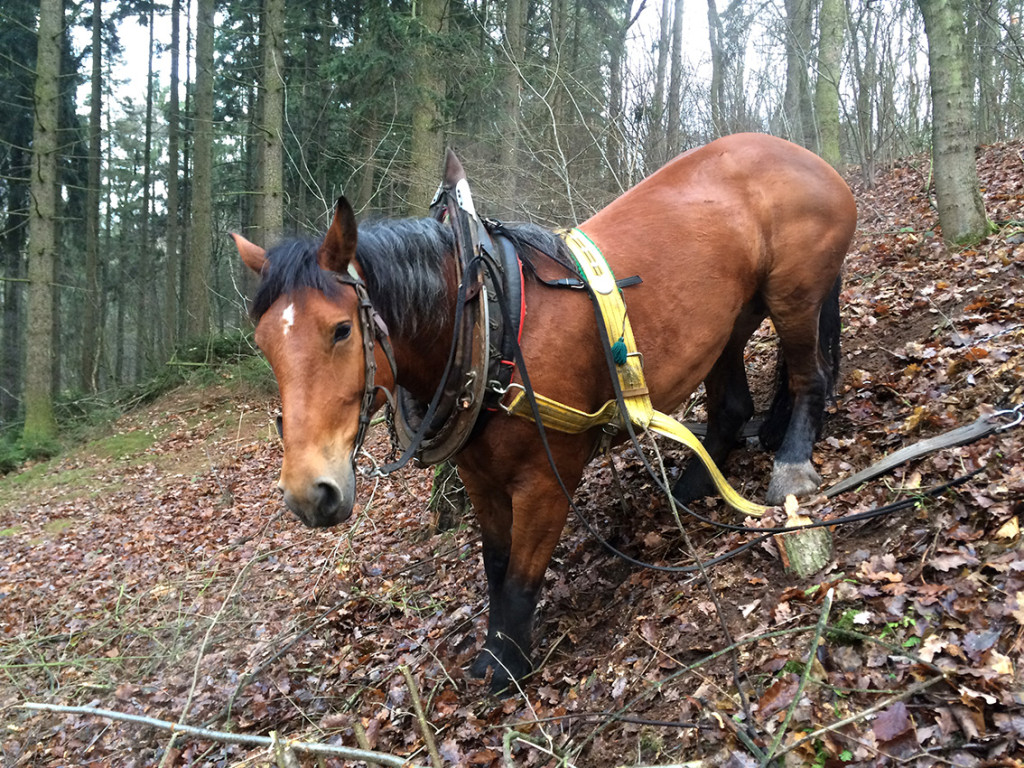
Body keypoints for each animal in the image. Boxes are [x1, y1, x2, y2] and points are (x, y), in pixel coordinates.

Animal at [232, 134, 856, 692]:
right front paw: (498, 648)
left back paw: (792, 464)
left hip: (795, 294)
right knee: (730, 407)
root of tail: (810, 158)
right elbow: (496, 565)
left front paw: (503, 666)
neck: (489, 322)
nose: (309, 492)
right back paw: (691, 488)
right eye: (264, 344)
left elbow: (522, 576)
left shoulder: (546, 481)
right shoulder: (481, 480)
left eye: (340, 330)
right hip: (729, 320)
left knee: (810, 377)